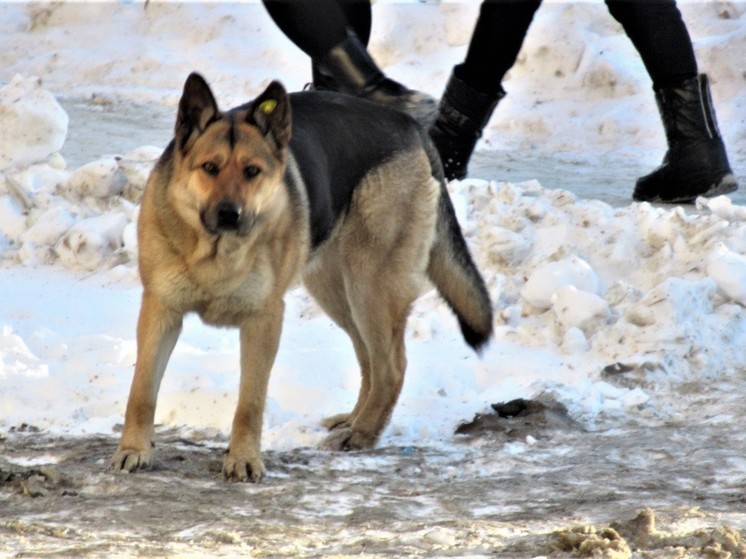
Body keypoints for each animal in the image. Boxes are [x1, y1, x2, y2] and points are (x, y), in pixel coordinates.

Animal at [110, 72, 492, 484]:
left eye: (252, 171)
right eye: (209, 168)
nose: (230, 214)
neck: (216, 252)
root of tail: (412, 127)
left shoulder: (263, 321)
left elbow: (250, 402)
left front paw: (244, 458)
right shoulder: (160, 312)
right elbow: (142, 390)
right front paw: (133, 449)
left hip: (370, 288)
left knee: (391, 367)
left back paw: (362, 434)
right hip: (338, 293)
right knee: (369, 361)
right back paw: (352, 420)